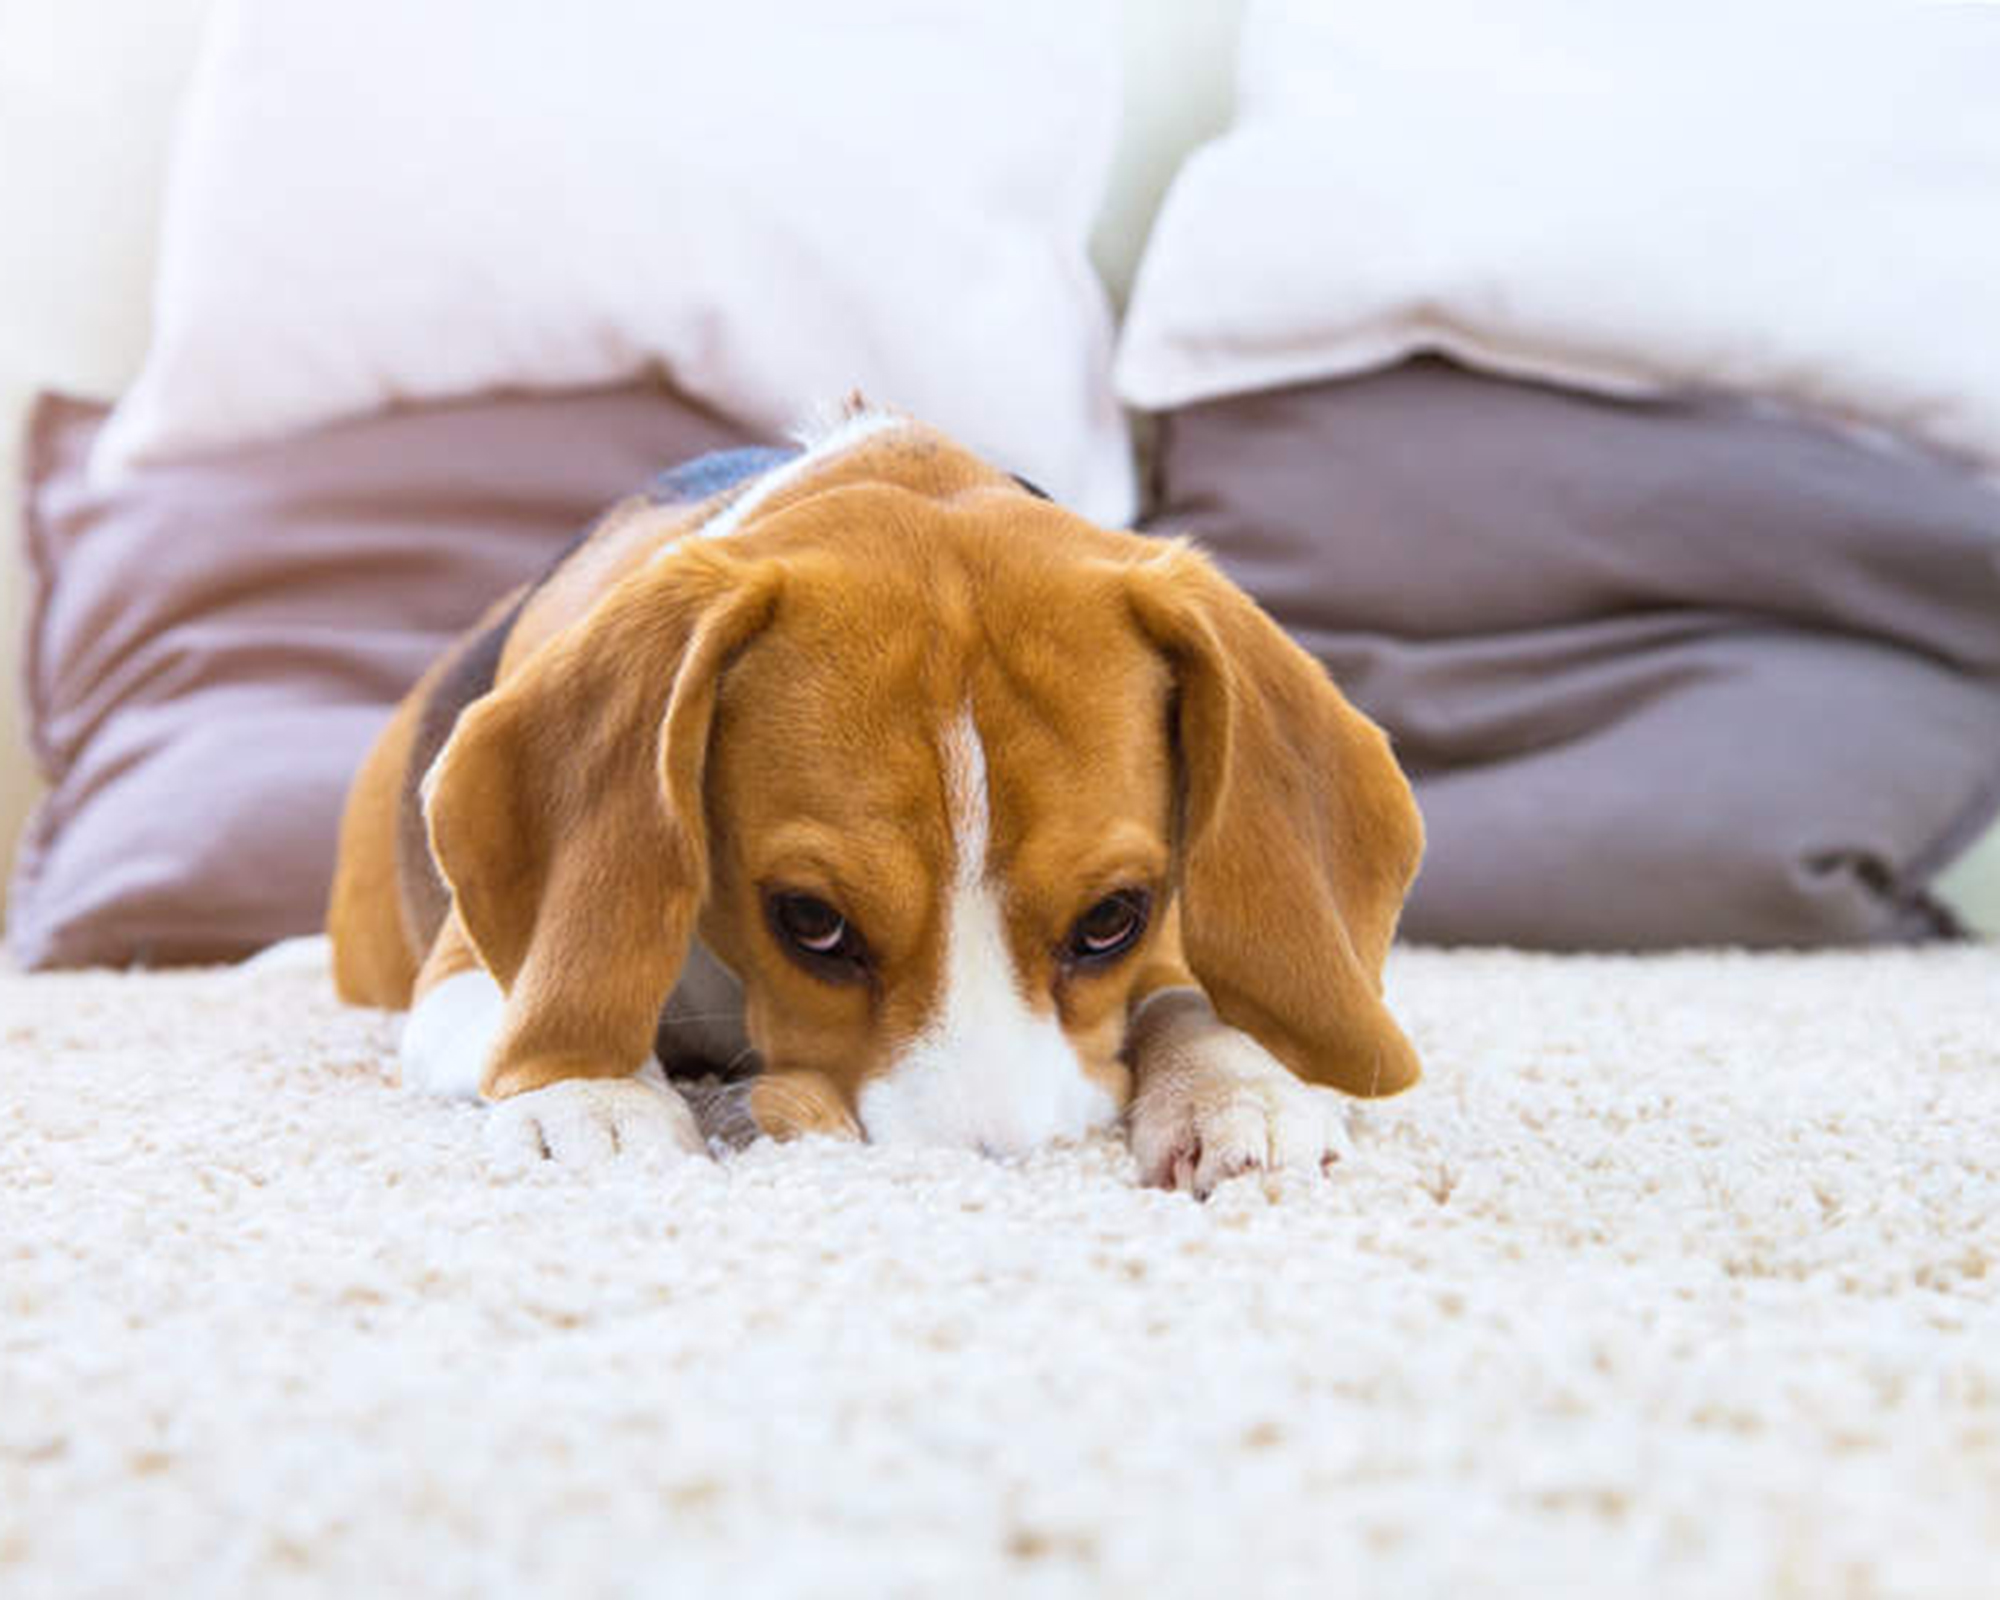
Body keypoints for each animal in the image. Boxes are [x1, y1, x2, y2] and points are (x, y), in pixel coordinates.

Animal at [328, 406, 1424, 1192]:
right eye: (810, 921)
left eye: (1113, 917)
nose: (987, 1175)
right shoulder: (461, 977)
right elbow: (565, 996)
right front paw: (592, 1097)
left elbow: (1190, 996)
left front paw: (1240, 1085)